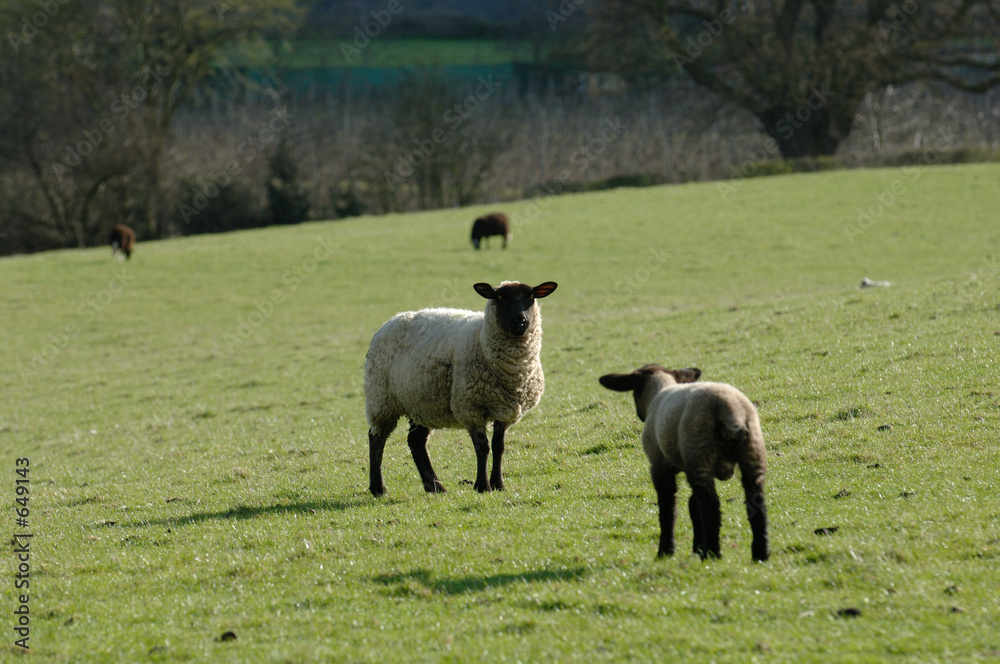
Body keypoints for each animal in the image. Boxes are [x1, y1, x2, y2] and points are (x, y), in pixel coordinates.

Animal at [365, 280, 558, 496]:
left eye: (531, 297)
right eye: (500, 297)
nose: (520, 321)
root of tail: (391, 320)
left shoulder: (504, 410)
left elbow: (499, 446)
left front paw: (498, 484)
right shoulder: (470, 407)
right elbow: (483, 447)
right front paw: (482, 486)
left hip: (421, 402)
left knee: (416, 441)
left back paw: (434, 486)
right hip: (381, 398)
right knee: (376, 438)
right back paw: (378, 488)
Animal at [599, 364, 769, 562]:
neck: (659, 390)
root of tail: (730, 411)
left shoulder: (660, 466)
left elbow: (668, 508)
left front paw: (666, 551)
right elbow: (693, 506)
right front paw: (696, 547)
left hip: (698, 450)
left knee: (711, 506)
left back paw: (712, 553)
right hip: (751, 453)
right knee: (756, 501)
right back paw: (760, 553)